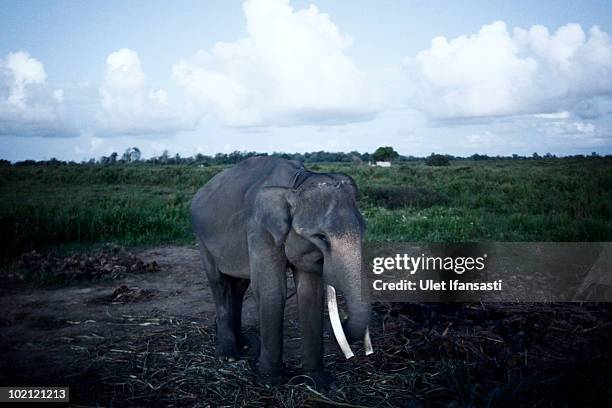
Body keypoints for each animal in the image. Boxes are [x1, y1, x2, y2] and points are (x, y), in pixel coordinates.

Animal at [191, 155, 370, 386]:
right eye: (321, 237)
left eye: (363, 230)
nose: (344, 322)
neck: (296, 183)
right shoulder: (259, 229)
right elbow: (272, 291)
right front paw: (270, 380)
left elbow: (310, 292)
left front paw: (319, 380)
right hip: (202, 241)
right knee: (219, 283)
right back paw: (228, 355)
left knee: (239, 286)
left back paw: (245, 344)